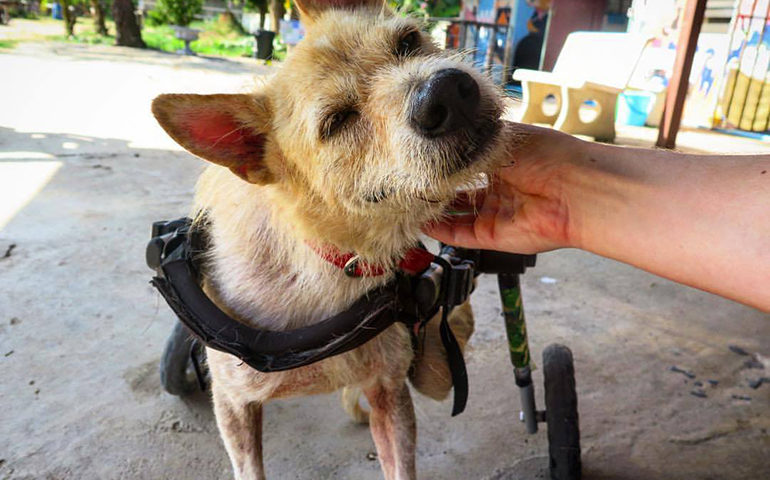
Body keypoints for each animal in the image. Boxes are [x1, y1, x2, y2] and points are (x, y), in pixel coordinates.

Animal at [150, 1, 512, 478]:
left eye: (408, 41)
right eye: (337, 121)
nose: (447, 91)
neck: (328, 268)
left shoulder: (389, 393)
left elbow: (400, 462)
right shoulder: (234, 405)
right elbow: (249, 466)